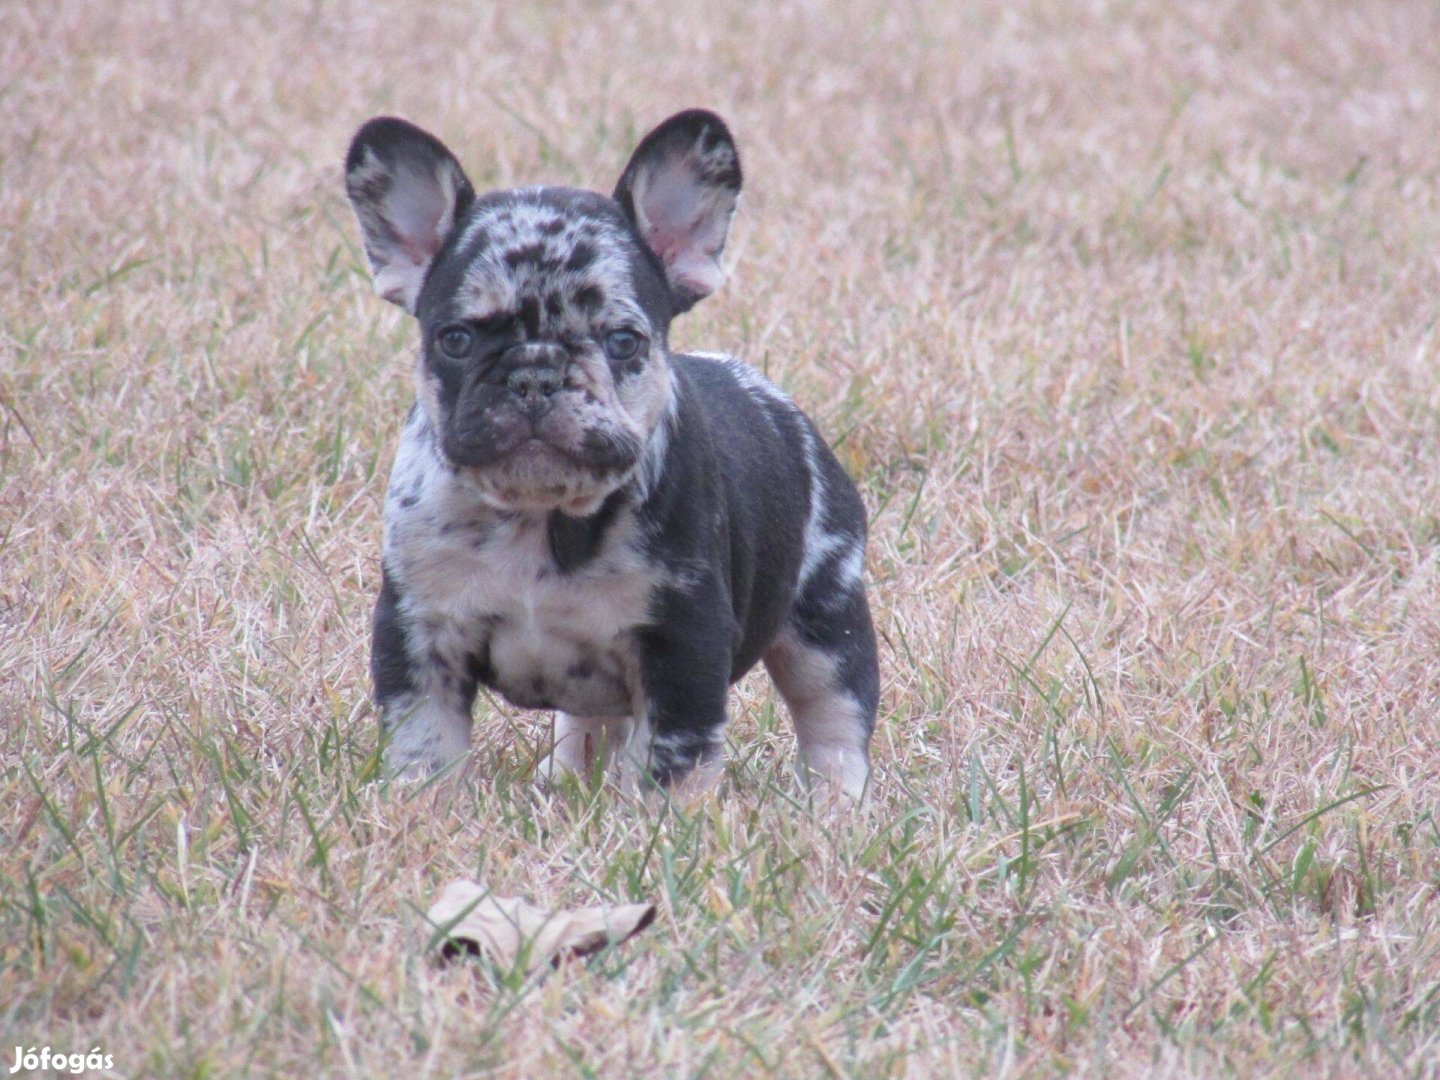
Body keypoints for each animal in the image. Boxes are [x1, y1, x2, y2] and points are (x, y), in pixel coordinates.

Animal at [345, 112, 875, 806]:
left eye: (623, 340)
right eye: (454, 340)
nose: (536, 374)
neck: (540, 518)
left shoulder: (683, 646)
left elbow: (673, 760)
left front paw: (663, 824)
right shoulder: (420, 633)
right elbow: (424, 741)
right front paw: (424, 809)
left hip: (826, 614)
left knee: (833, 714)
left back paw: (837, 806)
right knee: (591, 723)